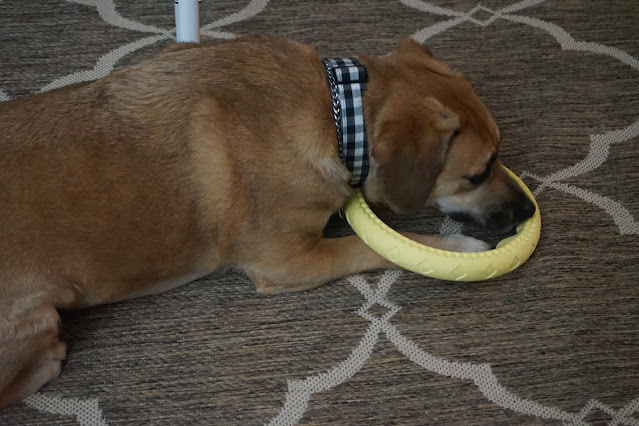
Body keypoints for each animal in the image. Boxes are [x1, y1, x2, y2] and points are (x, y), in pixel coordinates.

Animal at [0, 35, 536, 406]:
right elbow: (373, 245)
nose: (530, 211)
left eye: (499, 154)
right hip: (37, 316)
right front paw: (457, 250)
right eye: (477, 173)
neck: (336, 113)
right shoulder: (288, 261)